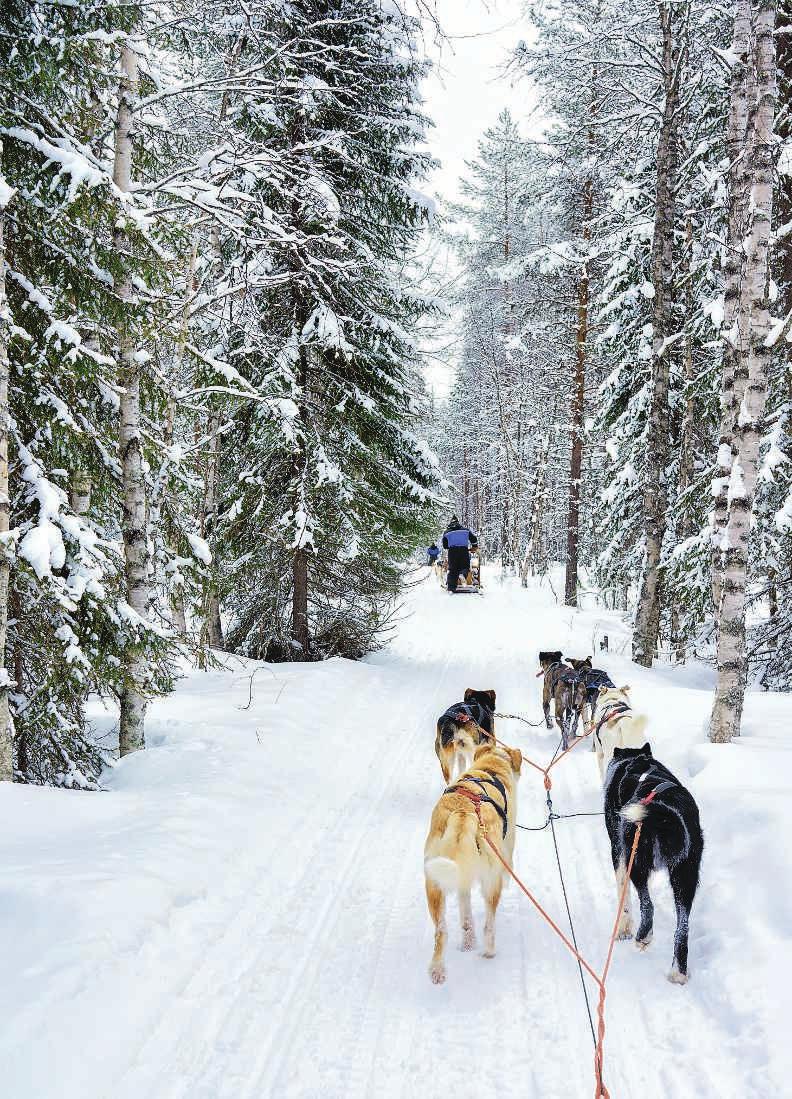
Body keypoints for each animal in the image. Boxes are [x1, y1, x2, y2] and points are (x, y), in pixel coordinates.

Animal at [424, 738, 522, 989]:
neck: (490, 767)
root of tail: (464, 813)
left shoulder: (462, 878)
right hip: (491, 882)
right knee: (489, 923)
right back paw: (488, 951)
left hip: (434, 883)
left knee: (441, 931)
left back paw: (439, 968)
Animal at [601, 742, 703, 984]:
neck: (634, 759)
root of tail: (665, 814)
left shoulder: (619, 852)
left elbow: (623, 895)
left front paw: (623, 929)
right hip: (685, 876)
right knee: (682, 927)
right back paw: (678, 973)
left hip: (637, 861)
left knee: (647, 905)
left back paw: (643, 936)